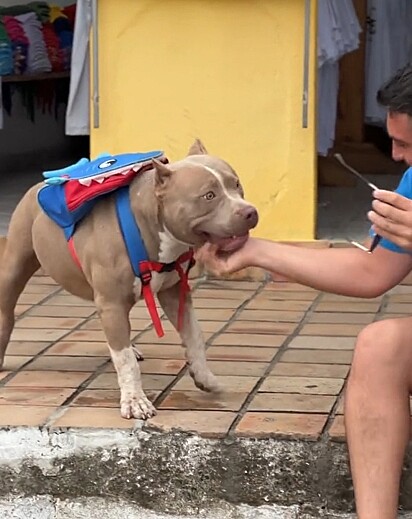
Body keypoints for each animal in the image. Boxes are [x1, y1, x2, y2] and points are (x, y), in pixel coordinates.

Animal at [0, 140, 258, 420]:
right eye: (208, 196)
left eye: (237, 184)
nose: (250, 212)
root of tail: (40, 184)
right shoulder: (112, 303)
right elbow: (125, 362)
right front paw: (135, 401)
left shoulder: (174, 291)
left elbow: (194, 335)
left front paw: (204, 377)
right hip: (15, 264)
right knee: (7, 310)